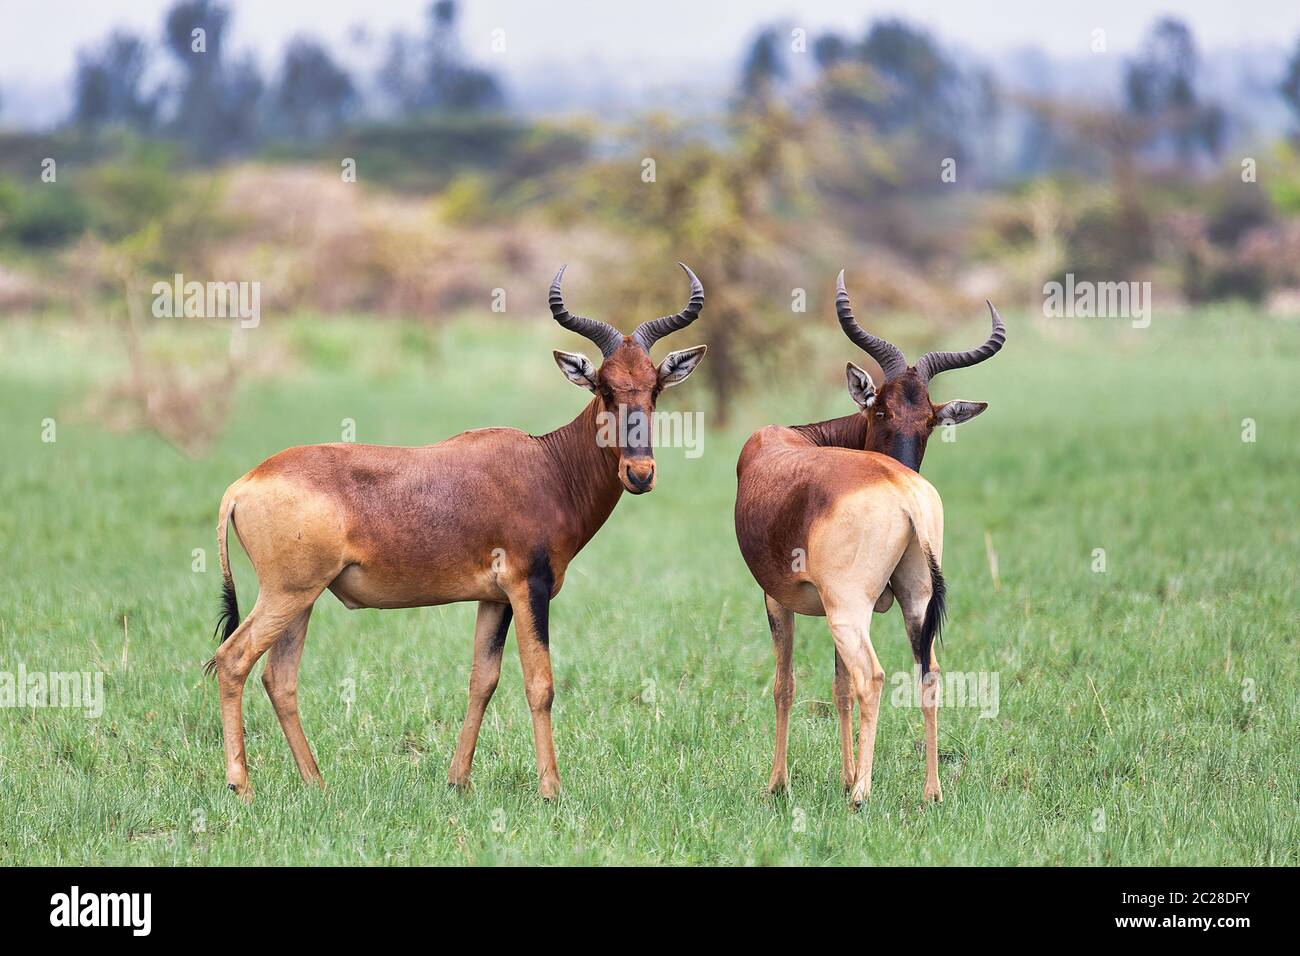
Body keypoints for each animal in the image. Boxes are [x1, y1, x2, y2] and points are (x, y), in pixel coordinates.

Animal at [208, 261, 707, 801]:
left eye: (654, 387)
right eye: (604, 387)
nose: (639, 473)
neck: (545, 465)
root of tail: (244, 484)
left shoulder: (494, 598)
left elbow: (482, 680)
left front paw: (458, 780)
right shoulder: (528, 587)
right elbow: (540, 683)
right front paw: (551, 789)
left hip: (302, 598)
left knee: (278, 678)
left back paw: (317, 784)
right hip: (286, 593)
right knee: (233, 660)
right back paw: (241, 787)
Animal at [733, 270, 1003, 806]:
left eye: (928, 422)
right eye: (881, 410)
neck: (792, 440)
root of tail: (902, 490)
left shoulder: (778, 599)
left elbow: (785, 683)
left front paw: (780, 784)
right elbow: (837, 687)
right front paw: (842, 775)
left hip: (849, 609)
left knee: (872, 677)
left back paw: (862, 793)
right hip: (914, 600)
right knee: (928, 671)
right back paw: (930, 792)